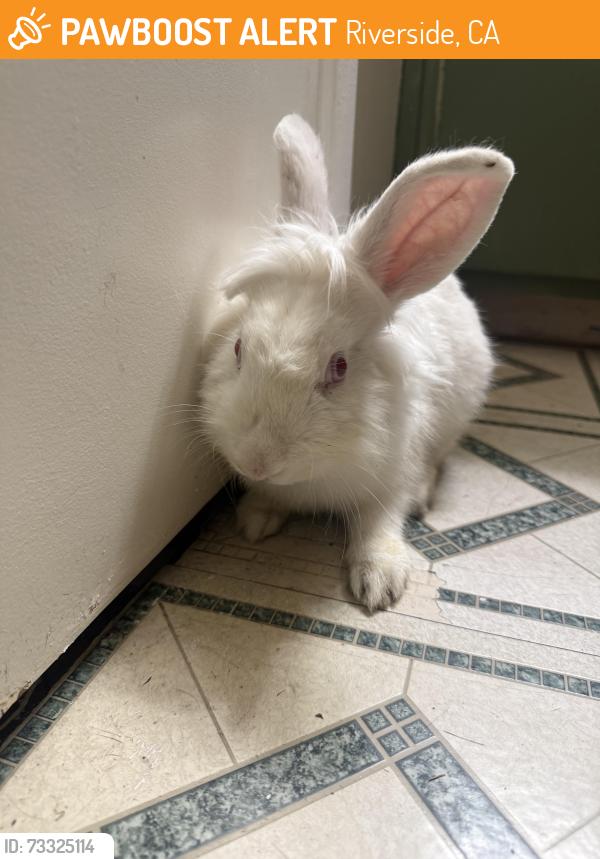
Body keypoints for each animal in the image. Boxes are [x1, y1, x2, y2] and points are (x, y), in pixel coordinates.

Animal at [200, 113, 514, 612]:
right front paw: (255, 521)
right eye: (238, 349)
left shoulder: (391, 478)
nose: (258, 461)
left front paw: (380, 582)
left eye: (340, 367)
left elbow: (379, 523)